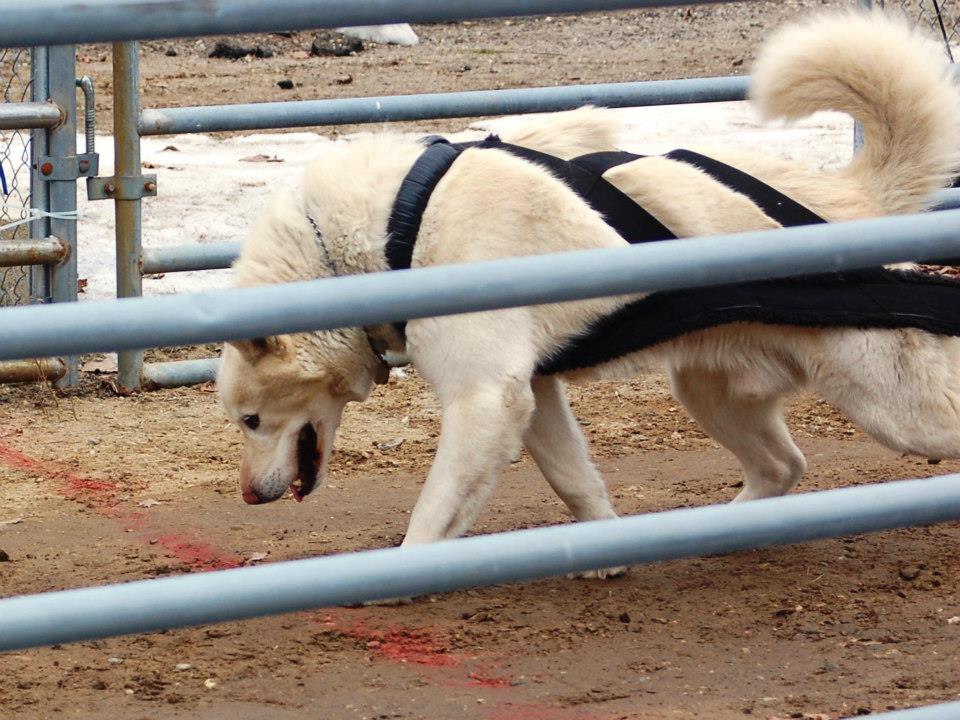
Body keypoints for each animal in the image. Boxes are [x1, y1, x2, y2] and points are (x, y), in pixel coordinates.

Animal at [218, 11, 960, 548]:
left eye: (252, 419)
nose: (249, 495)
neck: (396, 224)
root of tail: (846, 198)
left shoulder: (484, 399)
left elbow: (431, 519)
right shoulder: (533, 396)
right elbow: (576, 482)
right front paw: (607, 551)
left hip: (891, 403)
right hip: (710, 390)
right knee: (783, 468)